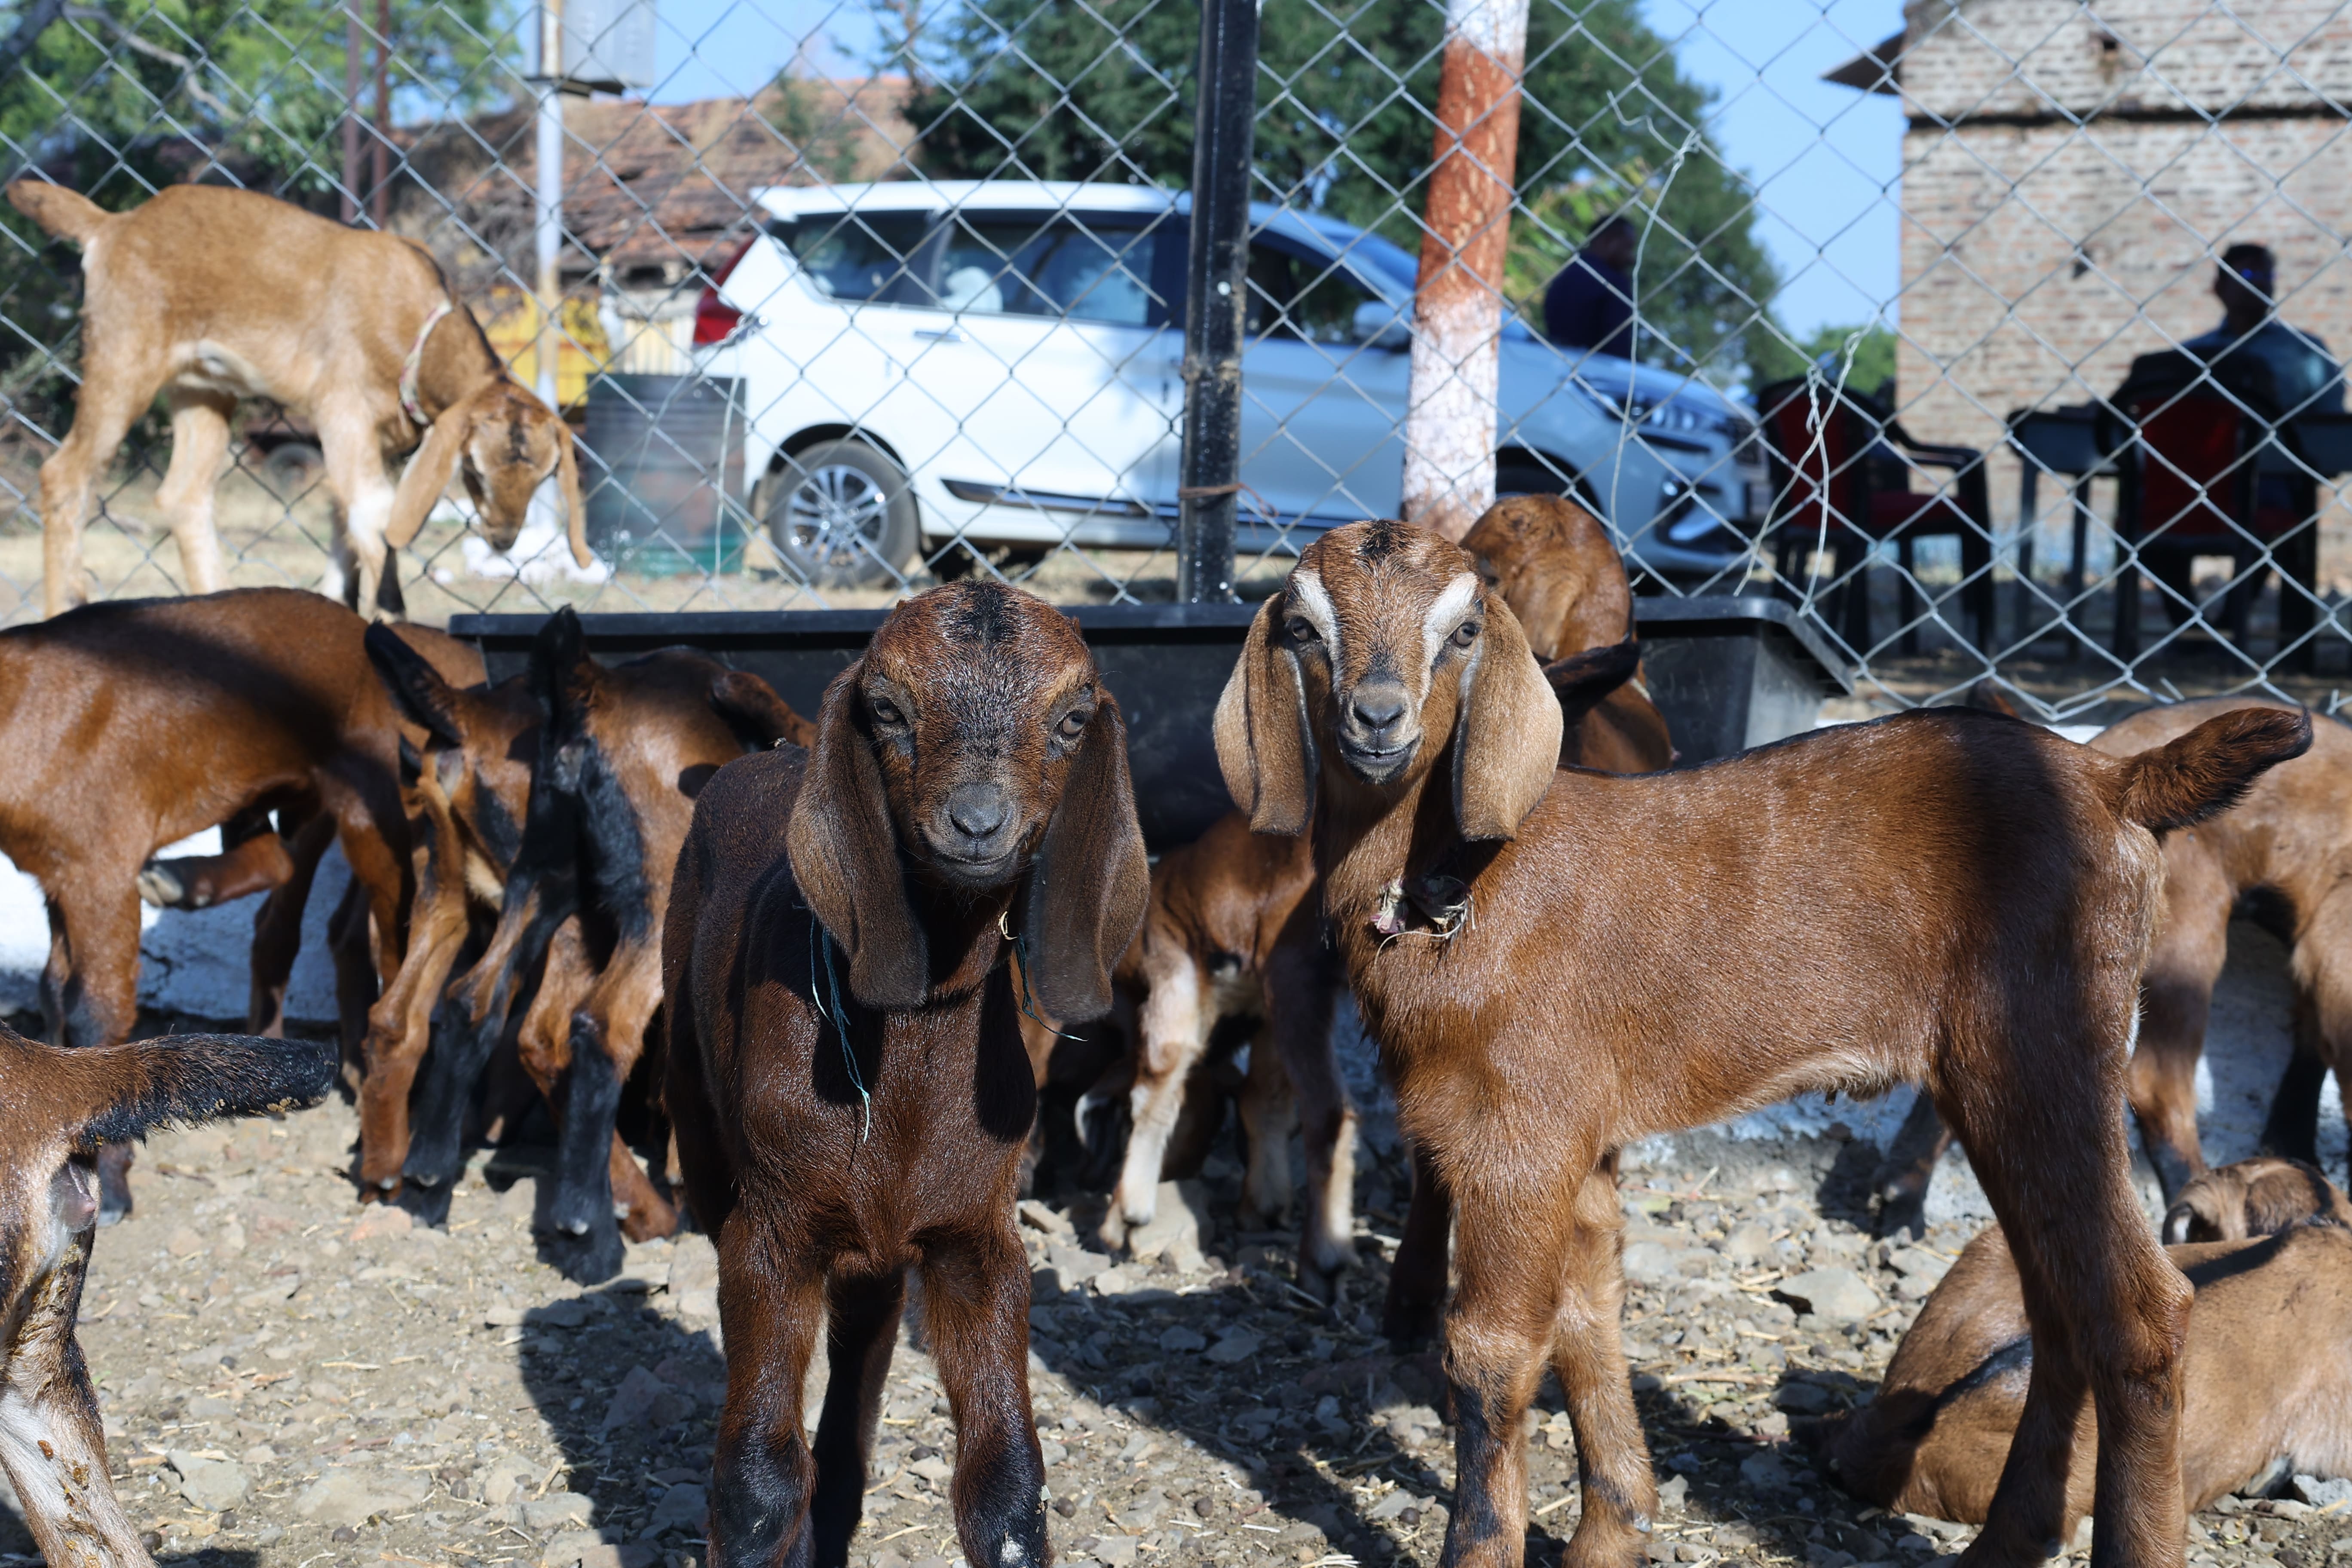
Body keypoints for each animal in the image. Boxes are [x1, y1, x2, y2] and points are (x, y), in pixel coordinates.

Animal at [0, 588, 422, 1217]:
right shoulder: (56, 875)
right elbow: (52, 994)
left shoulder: (100, 867)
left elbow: (95, 1012)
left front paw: (113, 1188)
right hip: (273, 789)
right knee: (279, 863)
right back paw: (185, 881)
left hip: (374, 801)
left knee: (396, 947)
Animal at [6, 180, 588, 619]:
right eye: (474, 469)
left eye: (544, 475)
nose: (504, 538)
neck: (416, 324)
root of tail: (112, 225)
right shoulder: (342, 410)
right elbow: (375, 518)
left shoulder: (377, 441)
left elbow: (347, 523)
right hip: (124, 355)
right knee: (64, 475)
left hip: (202, 387)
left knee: (184, 496)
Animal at [397, 610, 809, 1280]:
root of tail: (591, 691)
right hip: (651, 898)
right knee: (600, 1025)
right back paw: (589, 1230)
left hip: (546, 882)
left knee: (474, 1001)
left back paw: (426, 1185)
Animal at [663, 582, 1147, 1568]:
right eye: (887, 708)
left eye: (1073, 718)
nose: (977, 822)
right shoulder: (771, 1227)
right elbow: (756, 1479)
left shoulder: (976, 1236)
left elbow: (1007, 1485)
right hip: (700, 1125)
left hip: (877, 1247)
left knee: (862, 1344)